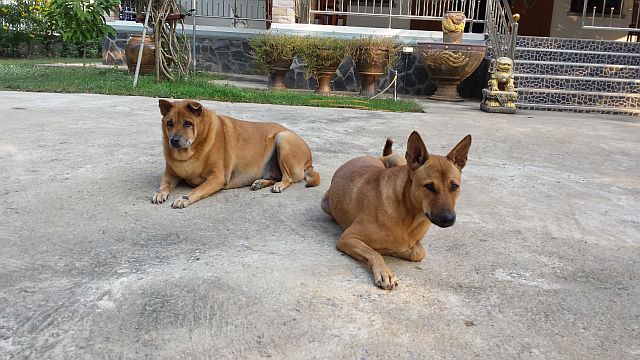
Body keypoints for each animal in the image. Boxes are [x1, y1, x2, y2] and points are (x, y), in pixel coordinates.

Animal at [151, 98, 320, 208]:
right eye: (169, 123)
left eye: (188, 123)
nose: (173, 141)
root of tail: (309, 162)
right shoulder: (170, 174)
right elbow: (164, 183)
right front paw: (160, 192)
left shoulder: (217, 178)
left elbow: (197, 189)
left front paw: (184, 198)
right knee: (275, 176)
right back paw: (260, 182)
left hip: (283, 138)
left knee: (288, 178)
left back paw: (279, 184)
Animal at [322, 132, 472, 290]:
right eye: (429, 186)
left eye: (454, 186)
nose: (448, 219)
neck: (409, 214)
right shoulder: (348, 238)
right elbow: (373, 253)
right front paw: (384, 270)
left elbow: (419, 252)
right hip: (325, 204)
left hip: (398, 159)